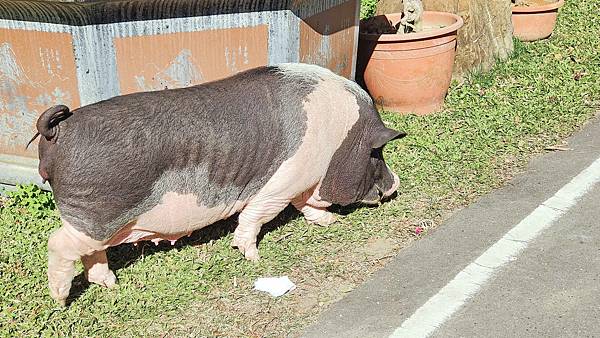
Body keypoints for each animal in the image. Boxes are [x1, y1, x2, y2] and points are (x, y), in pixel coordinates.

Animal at [28, 62, 404, 304]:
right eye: (377, 153)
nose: (395, 184)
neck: (340, 138)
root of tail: (59, 130)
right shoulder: (284, 180)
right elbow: (258, 214)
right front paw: (253, 258)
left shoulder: (300, 181)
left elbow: (305, 204)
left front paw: (328, 221)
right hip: (95, 213)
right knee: (58, 243)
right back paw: (61, 300)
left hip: (98, 223)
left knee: (92, 252)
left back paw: (112, 285)